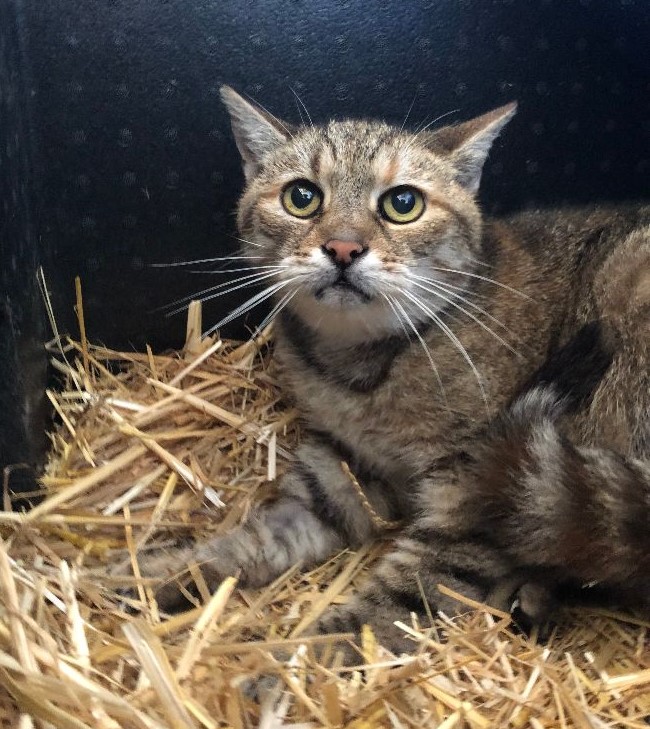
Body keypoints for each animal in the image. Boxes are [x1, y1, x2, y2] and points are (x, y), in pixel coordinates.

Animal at [132, 86, 650, 656]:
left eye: (403, 204)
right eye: (301, 197)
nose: (342, 248)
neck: (359, 372)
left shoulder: (470, 502)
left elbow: (373, 620)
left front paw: (279, 670)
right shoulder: (340, 476)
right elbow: (253, 541)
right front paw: (146, 572)